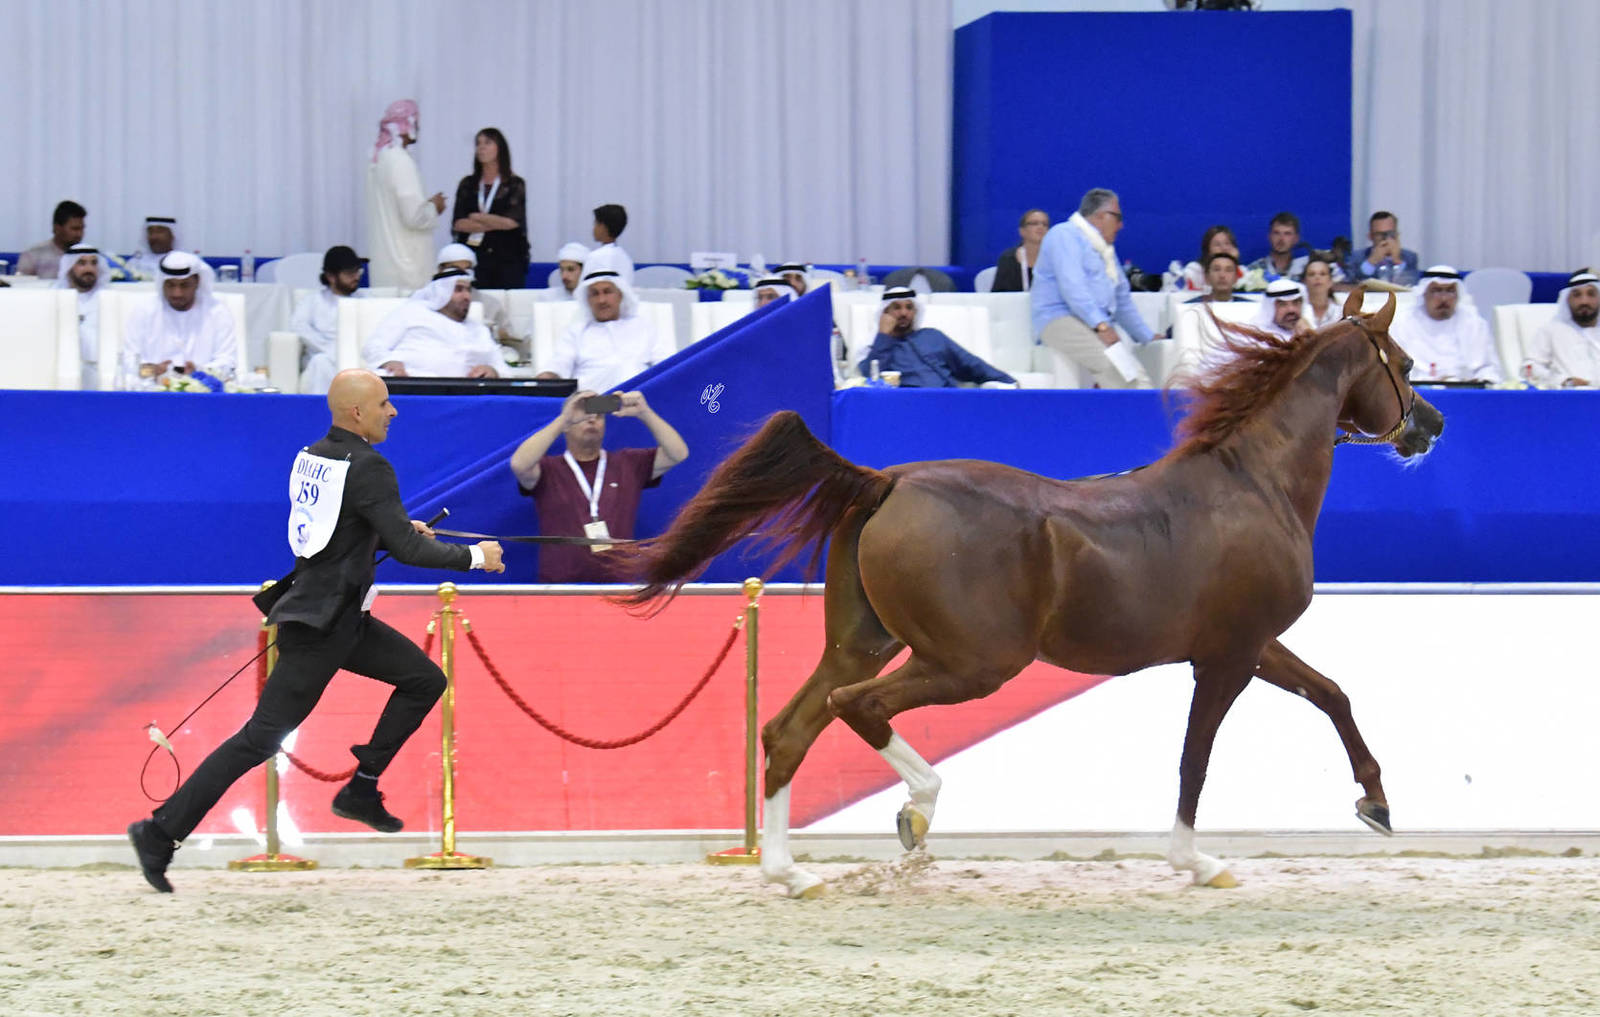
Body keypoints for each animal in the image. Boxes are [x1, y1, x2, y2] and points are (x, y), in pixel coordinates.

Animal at [621, 288, 1444, 897]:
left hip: (862, 643)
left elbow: (1331, 693)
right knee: (857, 708)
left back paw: (788, 873)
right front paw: (1197, 862)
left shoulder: (1251, 645)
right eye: (1403, 362)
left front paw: (1376, 803)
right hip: (972, 662)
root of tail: (889, 480)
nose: (1430, 424)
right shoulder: (1227, 659)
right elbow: (1196, 758)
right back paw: (916, 812)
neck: (1254, 486)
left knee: (790, 728)